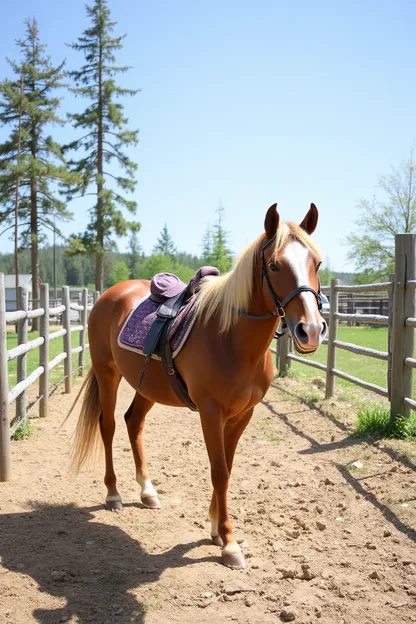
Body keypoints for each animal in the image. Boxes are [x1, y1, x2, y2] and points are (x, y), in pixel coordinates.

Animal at [66, 204, 326, 572]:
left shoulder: (243, 414)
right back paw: (113, 493)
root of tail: (110, 294)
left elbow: (228, 468)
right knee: (109, 425)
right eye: (275, 265)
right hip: (107, 374)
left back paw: (147, 491)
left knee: (134, 423)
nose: (311, 330)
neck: (232, 338)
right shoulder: (210, 412)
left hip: (147, 387)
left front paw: (216, 530)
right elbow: (219, 472)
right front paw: (229, 544)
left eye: (316, 263)